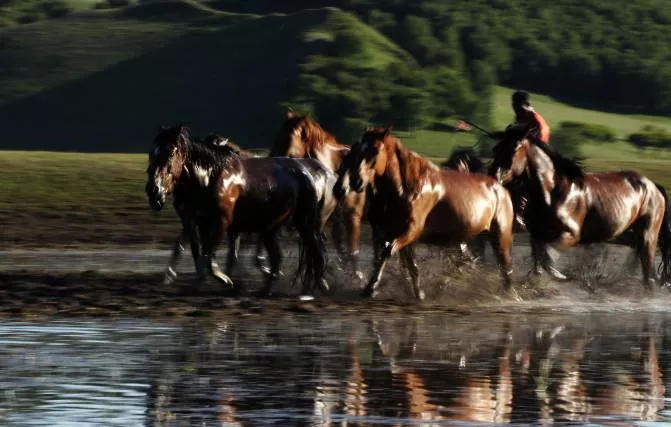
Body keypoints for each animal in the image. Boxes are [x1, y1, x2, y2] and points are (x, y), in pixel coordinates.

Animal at [148, 125, 336, 296]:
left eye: (170, 153)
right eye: (152, 152)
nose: (153, 190)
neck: (213, 176)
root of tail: (309, 174)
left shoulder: (221, 223)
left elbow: (210, 258)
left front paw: (225, 282)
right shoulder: (200, 221)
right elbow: (203, 255)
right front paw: (224, 283)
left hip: (305, 223)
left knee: (317, 253)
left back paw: (311, 289)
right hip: (271, 228)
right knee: (280, 257)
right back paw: (268, 289)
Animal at [332, 128, 516, 300]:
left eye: (375, 151)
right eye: (358, 150)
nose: (356, 182)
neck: (407, 189)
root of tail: (500, 187)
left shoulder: (411, 231)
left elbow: (388, 253)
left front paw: (372, 288)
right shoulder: (394, 233)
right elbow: (407, 264)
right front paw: (417, 292)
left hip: (500, 236)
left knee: (505, 267)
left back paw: (508, 295)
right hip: (473, 238)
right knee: (469, 261)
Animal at [488, 125, 671, 290]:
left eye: (514, 148)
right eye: (496, 148)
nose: (493, 175)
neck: (554, 192)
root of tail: (654, 186)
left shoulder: (572, 235)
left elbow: (548, 256)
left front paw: (562, 276)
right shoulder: (537, 234)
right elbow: (539, 259)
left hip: (648, 235)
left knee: (647, 268)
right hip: (621, 233)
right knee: (638, 255)